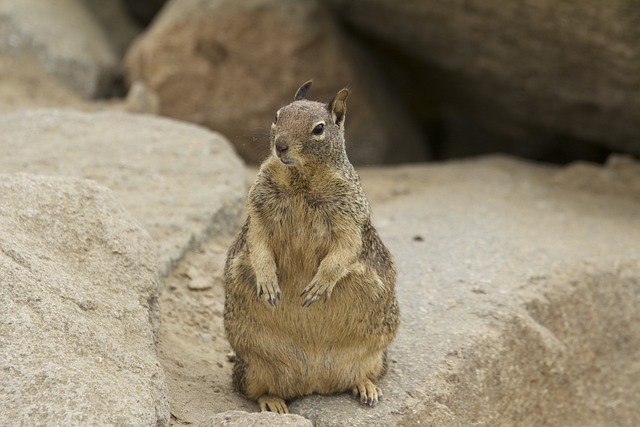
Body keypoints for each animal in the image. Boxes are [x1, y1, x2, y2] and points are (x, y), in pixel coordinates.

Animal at [222, 79, 398, 414]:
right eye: (277, 116)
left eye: (318, 129)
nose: (280, 146)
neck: (300, 179)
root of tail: (315, 380)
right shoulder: (258, 214)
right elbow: (259, 246)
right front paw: (268, 282)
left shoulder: (350, 221)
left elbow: (342, 253)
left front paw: (318, 285)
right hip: (252, 369)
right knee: (254, 390)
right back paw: (274, 403)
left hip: (374, 358)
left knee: (364, 375)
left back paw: (367, 388)